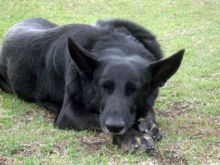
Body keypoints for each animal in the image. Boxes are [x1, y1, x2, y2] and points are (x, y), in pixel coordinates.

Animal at [0, 18, 184, 152]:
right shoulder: (70, 113)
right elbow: (98, 118)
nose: (114, 126)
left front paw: (148, 123)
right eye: (104, 87)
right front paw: (134, 136)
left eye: (135, 90)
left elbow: (149, 109)